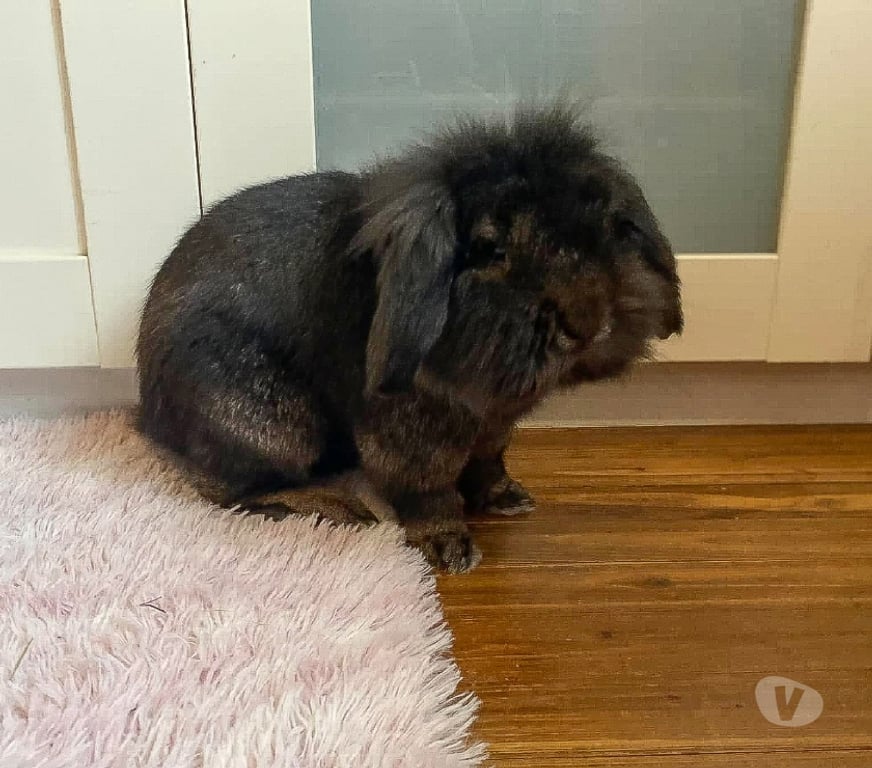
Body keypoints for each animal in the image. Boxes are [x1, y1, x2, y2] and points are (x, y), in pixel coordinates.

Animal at [136, 104, 683, 573]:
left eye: (609, 227)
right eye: (489, 248)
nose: (589, 324)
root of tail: (151, 409)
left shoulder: (493, 428)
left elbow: (488, 463)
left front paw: (508, 499)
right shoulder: (410, 436)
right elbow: (427, 490)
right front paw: (450, 549)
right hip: (274, 424)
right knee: (231, 492)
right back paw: (339, 508)